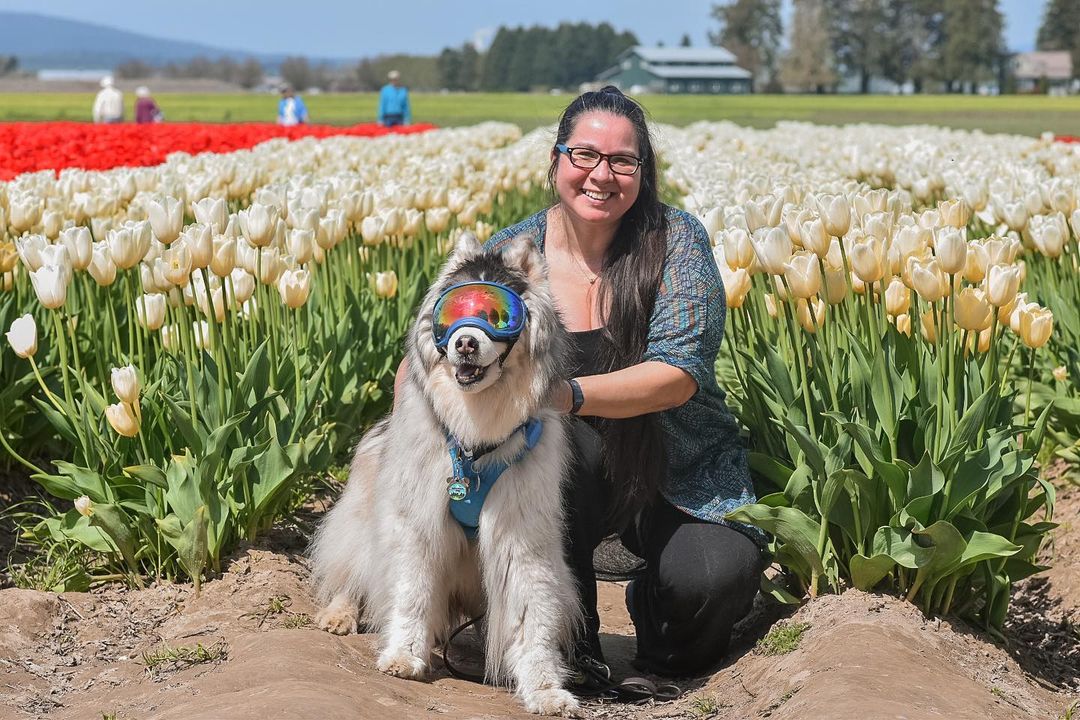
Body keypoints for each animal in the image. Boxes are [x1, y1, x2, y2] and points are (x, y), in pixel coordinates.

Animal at [311, 232, 583, 716]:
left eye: (498, 315)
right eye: (454, 313)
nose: (466, 344)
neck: (475, 437)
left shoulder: (521, 531)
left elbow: (531, 613)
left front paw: (546, 691)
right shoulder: (416, 522)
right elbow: (411, 590)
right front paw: (403, 656)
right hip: (363, 515)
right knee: (351, 569)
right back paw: (339, 615)